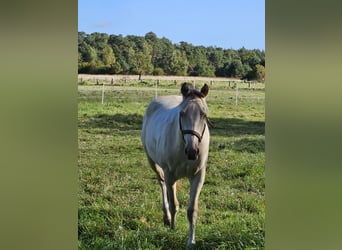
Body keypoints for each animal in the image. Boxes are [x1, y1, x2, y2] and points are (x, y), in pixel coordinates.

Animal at [140, 82, 210, 246]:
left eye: (204, 114)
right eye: (182, 113)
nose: (192, 151)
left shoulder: (198, 176)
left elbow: (192, 210)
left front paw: (191, 240)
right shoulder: (170, 174)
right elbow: (173, 205)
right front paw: (172, 228)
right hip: (154, 163)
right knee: (162, 184)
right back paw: (166, 217)